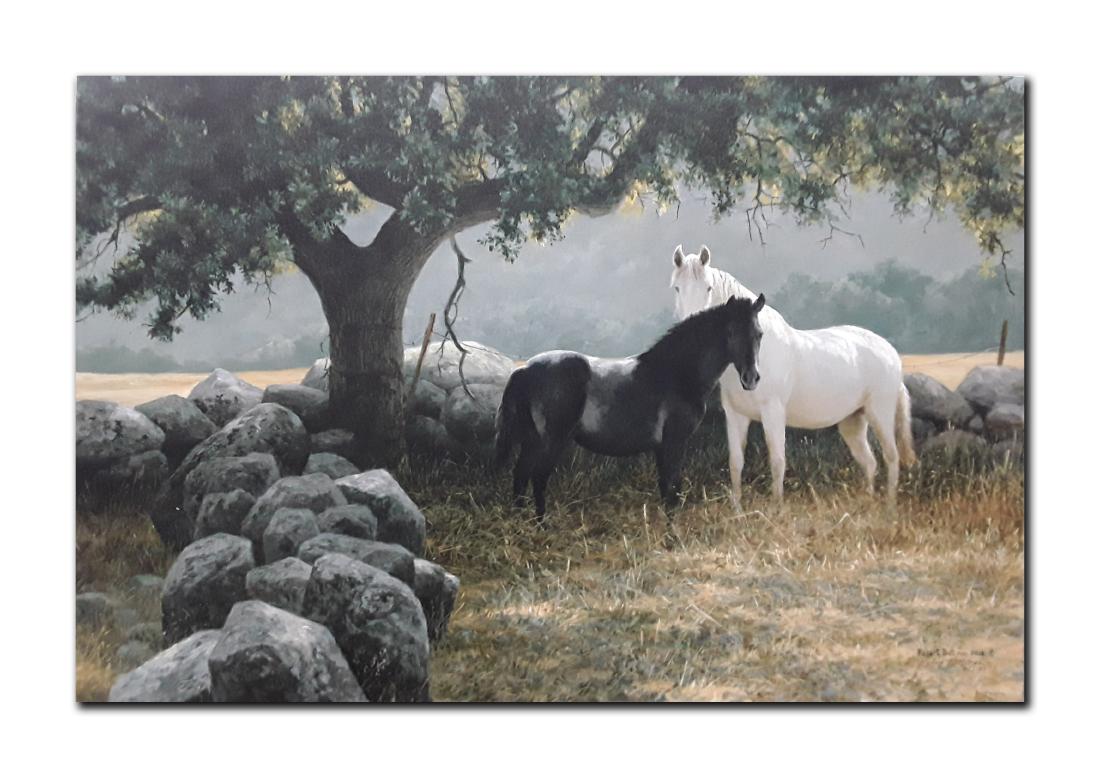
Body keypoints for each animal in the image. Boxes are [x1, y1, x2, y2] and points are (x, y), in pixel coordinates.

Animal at [495, 294, 766, 520]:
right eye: (730, 332)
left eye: (759, 334)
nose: (751, 378)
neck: (676, 372)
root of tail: (525, 369)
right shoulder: (674, 441)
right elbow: (673, 488)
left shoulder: (662, 447)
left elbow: (666, 487)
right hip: (551, 440)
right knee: (538, 478)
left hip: (532, 440)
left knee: (520, 476)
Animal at [668, 244, 916, 507]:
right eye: (677, 288)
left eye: (708, 287)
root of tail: (889, 352)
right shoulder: (735, 416)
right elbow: (735, 464)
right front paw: (737, 509)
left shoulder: (774, 413)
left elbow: (777, 462)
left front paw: (776, 508)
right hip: (853, 421)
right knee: (869, 462)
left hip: (880, 413)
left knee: (891, 457)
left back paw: (889, 506)